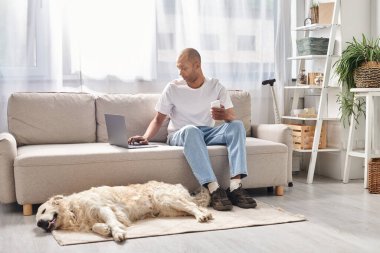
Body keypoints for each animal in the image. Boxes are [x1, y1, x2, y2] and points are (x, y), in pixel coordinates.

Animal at [36, 180, 211, 241]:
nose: (39, 224)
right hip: (168, 209)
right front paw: (104, 229)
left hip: (166, 199)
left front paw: (117, 233)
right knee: (192, 207)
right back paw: (205, 214)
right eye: (37, 219)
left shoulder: (102, 208)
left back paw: (202, 216)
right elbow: (95, 226)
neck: (73, 210)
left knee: (192, 206)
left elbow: (112, 222)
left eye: (43, 210)